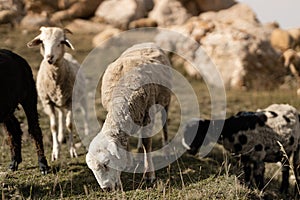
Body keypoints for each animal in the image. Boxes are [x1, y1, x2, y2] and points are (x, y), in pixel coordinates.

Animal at [26, 26, 88, 161]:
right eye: (42, 42)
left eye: (60, 42)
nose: (49, 58)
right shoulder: (48, 102)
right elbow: (53, 126)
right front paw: (55, 152)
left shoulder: (70, 101)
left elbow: (69, 125)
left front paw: (72, 150)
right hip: (58, 102)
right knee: (60, 114)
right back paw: (60, 137)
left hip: (81, 97)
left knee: (85, 114)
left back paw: (87, 135)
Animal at [85, 42, 172, 191]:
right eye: (91, 169)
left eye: (107, 163)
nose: (106, 189)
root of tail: (147, 42)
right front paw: (128, 163)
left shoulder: (148, 116)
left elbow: (147, 144)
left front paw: (149, 175)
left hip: (165, 101)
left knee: (164, 125)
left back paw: (166, 148)